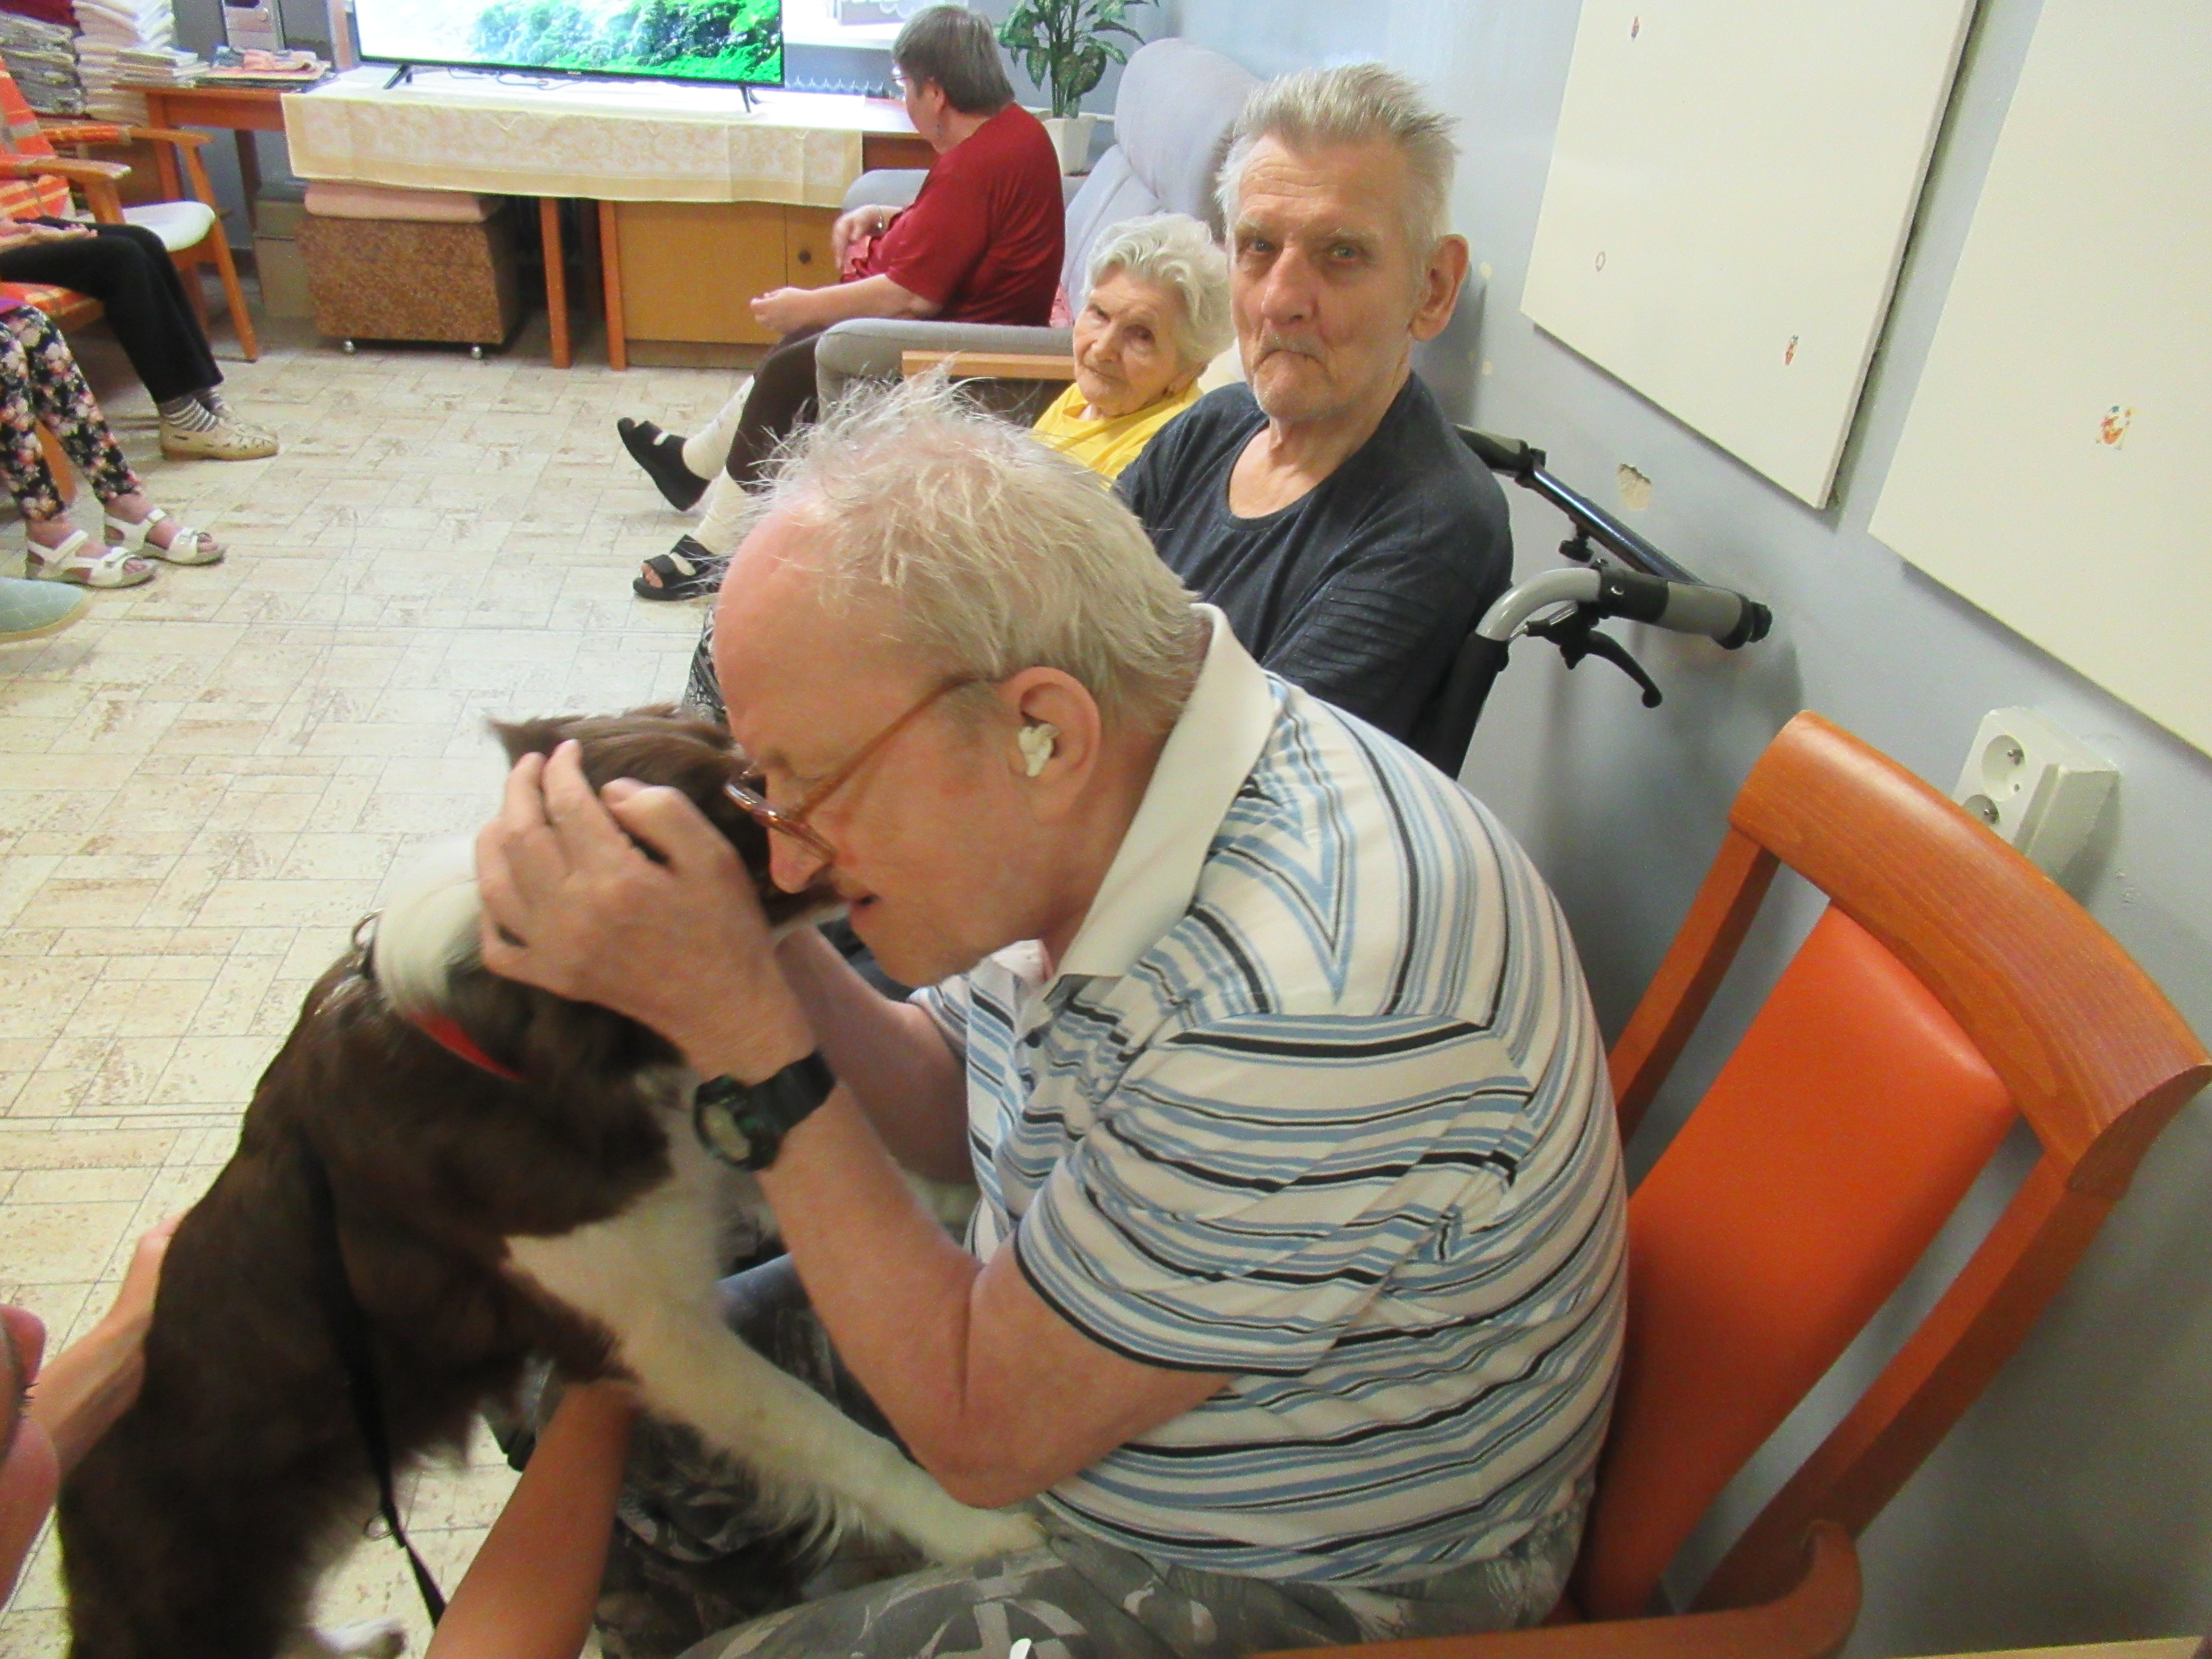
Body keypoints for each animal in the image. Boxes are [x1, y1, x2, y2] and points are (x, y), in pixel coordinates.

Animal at [57, 709, 1040, 1659]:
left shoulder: (678, 1175)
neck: (528, 1027)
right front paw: (970, 1528)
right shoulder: (657, 1337)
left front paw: (959, 1201)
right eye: (745, 796)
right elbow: (825, 1434)